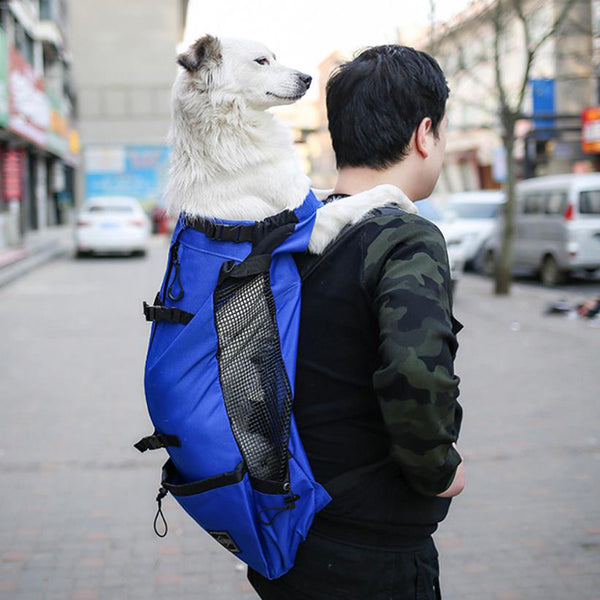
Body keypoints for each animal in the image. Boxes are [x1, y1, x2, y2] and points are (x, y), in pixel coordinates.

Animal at [166, 35, 414, 253]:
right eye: (262, 61)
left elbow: (335, 191)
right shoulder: (312, 224)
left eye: (274, 58)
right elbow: (381, 190)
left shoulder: (307, 197)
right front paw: (410, 205)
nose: (308, 78)